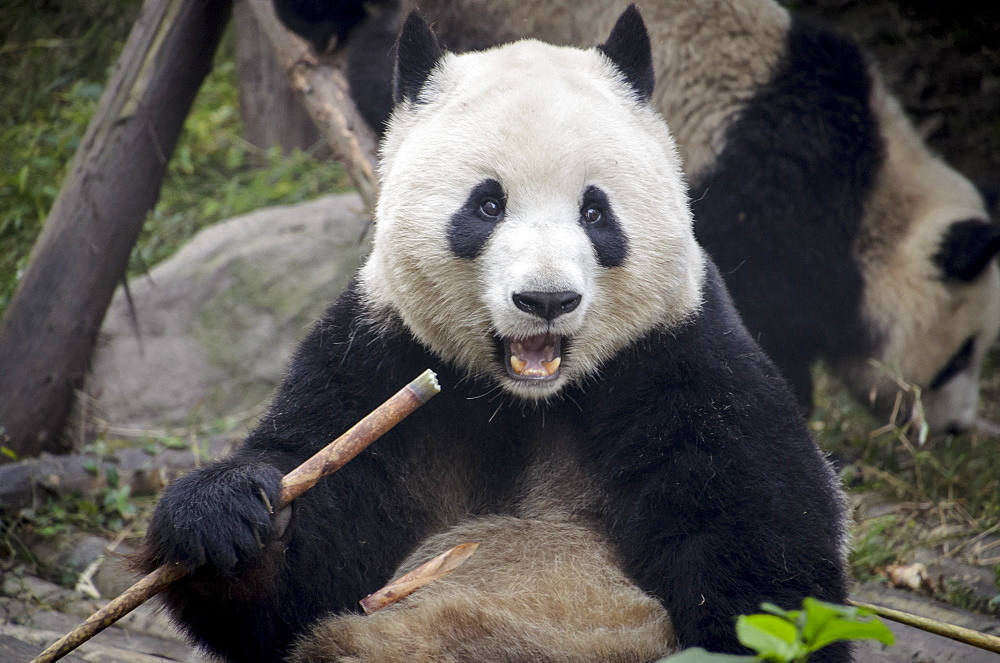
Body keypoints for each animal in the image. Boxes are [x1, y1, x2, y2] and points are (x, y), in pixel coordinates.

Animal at [139, 6, 852, 663]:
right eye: (487, 205)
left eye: (596, 212)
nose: (546, 299)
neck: (525, 402)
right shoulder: (377, 356)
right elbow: (303, 577)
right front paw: (228, 514)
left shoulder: (682, 359)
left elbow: (759, 550)